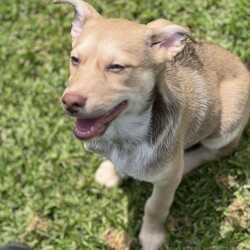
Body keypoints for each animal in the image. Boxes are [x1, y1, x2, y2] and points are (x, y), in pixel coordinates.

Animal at [51, 0, 249, 249]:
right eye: (74, 60)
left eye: (117, 67)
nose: (69, 102)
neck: (123, 135)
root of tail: (244, 68)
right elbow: (118, 164)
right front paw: (112, 172)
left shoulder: (164, 186)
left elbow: (155, 206)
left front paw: (151, 235)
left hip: (225, 127)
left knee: (216, 151)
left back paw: (185, 163)